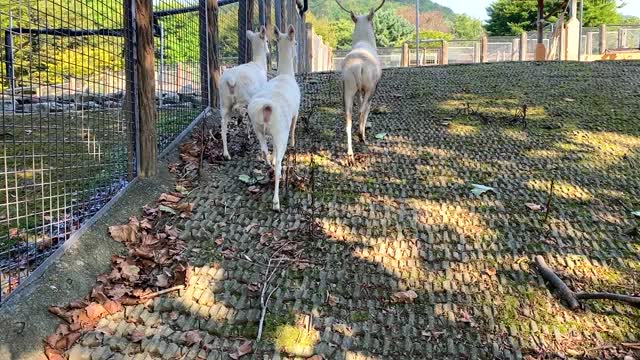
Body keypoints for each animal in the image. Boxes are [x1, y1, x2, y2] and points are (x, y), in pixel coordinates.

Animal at [220, 25, 270, 160]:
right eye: (267, 40)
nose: (268, 51)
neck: (259, 65)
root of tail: (231, 80)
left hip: (224, 101)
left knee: (223, 126)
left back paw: (226, 154)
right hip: (246, 95)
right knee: (239, 108)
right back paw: (240, 121)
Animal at [249, 25, 302, 211]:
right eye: (296, 42)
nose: (296, 50)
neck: (286, 74)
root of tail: (266, 108)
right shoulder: (297, 110)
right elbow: (294, 127)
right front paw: (294, 142)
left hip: (257, 127)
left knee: (265, 151)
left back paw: (269, 163)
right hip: (280, 133)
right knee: (279, 163)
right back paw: (276, 202)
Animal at [338, 0, 382, 162]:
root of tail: (359, 65)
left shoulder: (359, 90)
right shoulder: (372, 87)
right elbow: (368, 108)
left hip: (348, 87)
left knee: (347, 117)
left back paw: (350, 155)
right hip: (369, 86)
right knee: (362, 110)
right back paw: (361, 136)